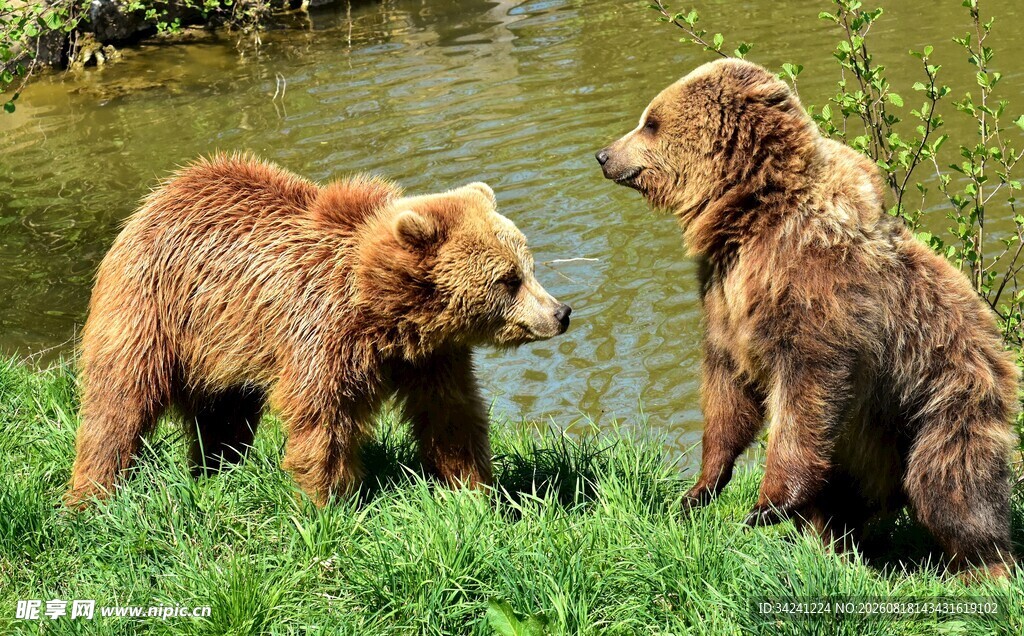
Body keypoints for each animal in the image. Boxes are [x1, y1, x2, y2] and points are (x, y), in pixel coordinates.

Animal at [65, 154, 571, 508]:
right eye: (509, 279)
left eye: (529, 266)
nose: (561, 312)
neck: (386, 315)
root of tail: (157, 197)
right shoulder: (321, 333)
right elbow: (322, 421)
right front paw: (327, 502)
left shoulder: (431, 358)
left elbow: (451, 415)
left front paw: (474, 491)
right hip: (153, 309)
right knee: (119, 402)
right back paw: (91, 495)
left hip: (222, 345)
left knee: (223, 414)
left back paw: (215, 469)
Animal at [597, 58, 1019, 579]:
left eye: (651, 122)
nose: (604, 155)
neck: (751, 217)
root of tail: (998, 351)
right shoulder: (724, 296)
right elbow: (726, 388)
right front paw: (699, 488)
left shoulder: (816, 289)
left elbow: (807, 389)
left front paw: (765, 506)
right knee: (849, 496)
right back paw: (831, 543)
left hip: (941, 396)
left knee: (950, 485)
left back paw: (986, 567)